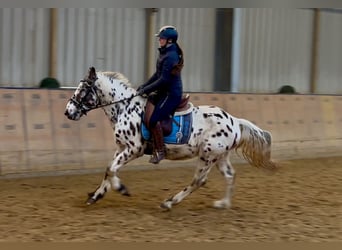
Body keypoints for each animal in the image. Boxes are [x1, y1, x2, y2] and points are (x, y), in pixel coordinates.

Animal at [64, 67, 276, 211]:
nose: (68, 112)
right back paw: (223, 204)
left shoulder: (134, 149)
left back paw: (169, 202)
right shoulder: (121, 148)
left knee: (199, 181)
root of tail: (234, 121)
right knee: (230, 175)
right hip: (220, 157)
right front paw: (96, 195)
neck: (125, 107)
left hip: (207, 156)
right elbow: (109, 169)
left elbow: (111, 169)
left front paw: (121, 188)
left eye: (82, 90)